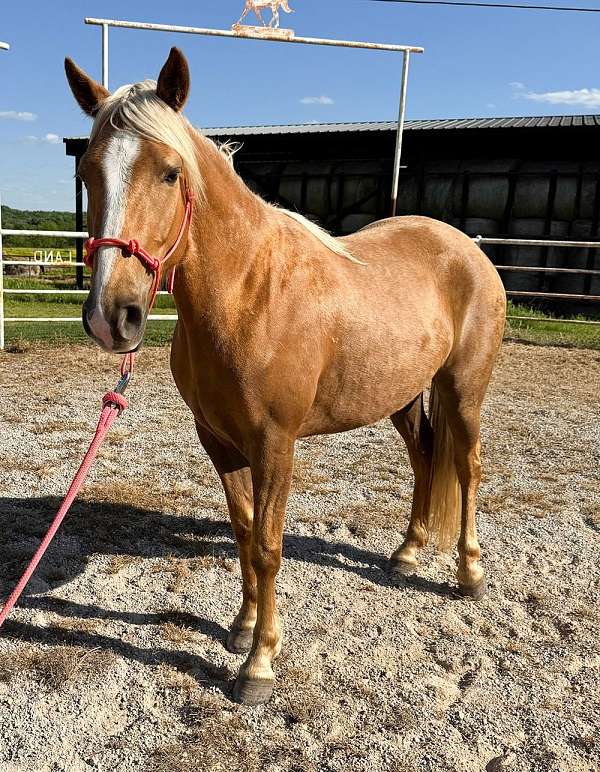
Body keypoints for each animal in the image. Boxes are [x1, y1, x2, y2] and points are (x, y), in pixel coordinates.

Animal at [64, 48, 506, 706]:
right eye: (90, 171)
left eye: (169, 172)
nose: (111, 317)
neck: (249, 293)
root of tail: (468, 247)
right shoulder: (219, 442)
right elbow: (244, 533)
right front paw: (241, 629)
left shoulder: (275, 444)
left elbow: (270, 548)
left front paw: (259, 665)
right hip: (403, 398)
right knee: (426, 460)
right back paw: (407, 553)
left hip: (462, 392)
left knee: (468, 468)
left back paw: (469, 572)